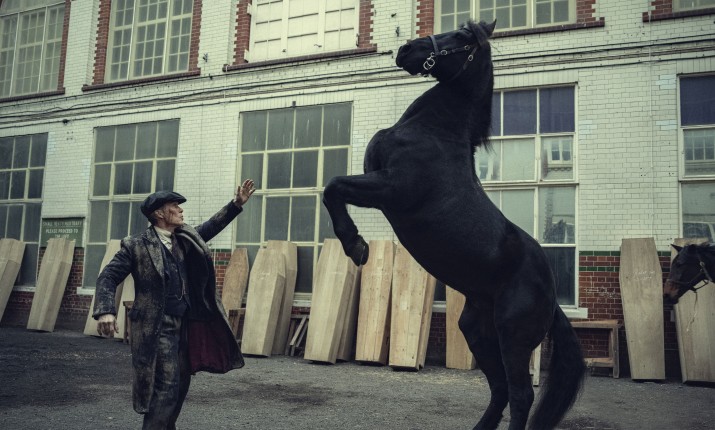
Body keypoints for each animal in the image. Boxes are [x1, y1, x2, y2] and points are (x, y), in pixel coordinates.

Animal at [322, 20, 586, 430]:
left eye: (462, 37)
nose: (407, 49)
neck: (435, 134)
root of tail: (552, 296)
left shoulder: (391, 190)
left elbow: (333, 186)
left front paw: (356, 246)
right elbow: (333, 188)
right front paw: (356, 245)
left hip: (513, 337)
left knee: (521, 395)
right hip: (477, 332)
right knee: (500, 390)